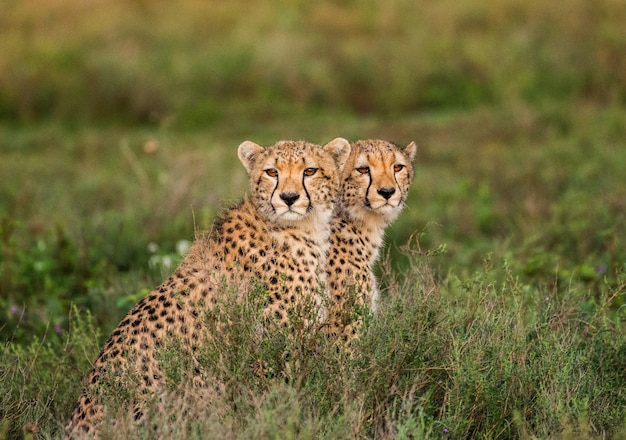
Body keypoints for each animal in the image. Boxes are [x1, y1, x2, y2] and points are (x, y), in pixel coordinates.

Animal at [67, 138, 352, 436]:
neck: (299, 228)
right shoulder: (276, 344)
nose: (288, 198)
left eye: (310, 171)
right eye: (272, 172)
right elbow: (284, 398)